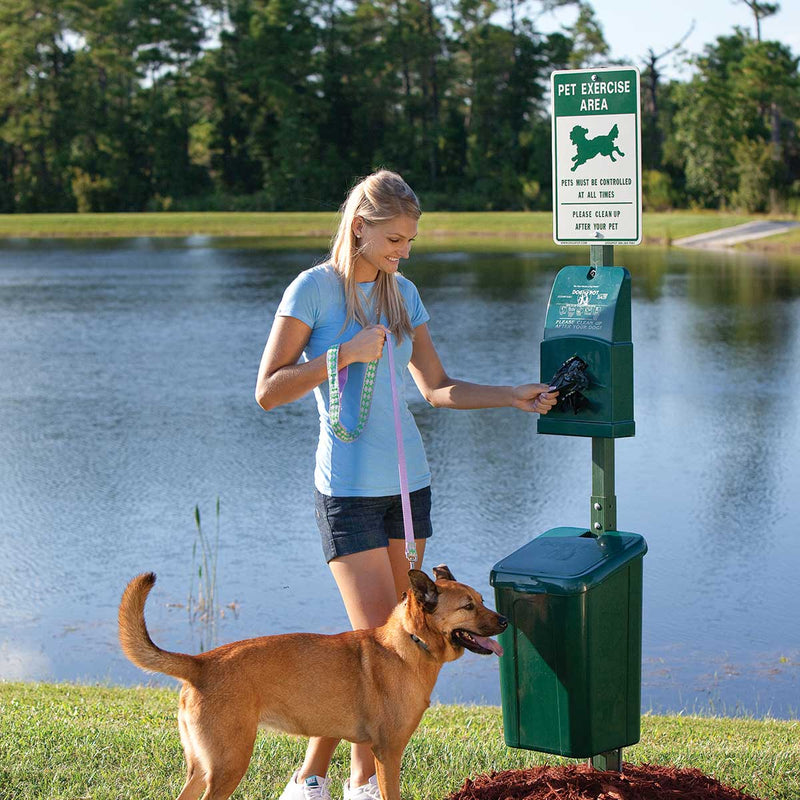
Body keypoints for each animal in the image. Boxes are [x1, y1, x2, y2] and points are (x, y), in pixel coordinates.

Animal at [119, 564, 506, 800]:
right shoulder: (388, 752)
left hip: (203, 765)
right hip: (229, 764)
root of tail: (199, 663)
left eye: (482, 600)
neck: (411, 643)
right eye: (468, 606)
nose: (504, 620)